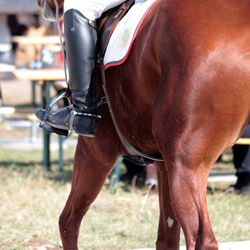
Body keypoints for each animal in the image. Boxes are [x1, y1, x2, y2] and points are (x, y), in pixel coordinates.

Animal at [38, 0, 250, 250]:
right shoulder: (163, 163)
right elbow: (167, 237)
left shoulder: (96, 150)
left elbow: (68, 221)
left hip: (185, 164)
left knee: (202, 239)